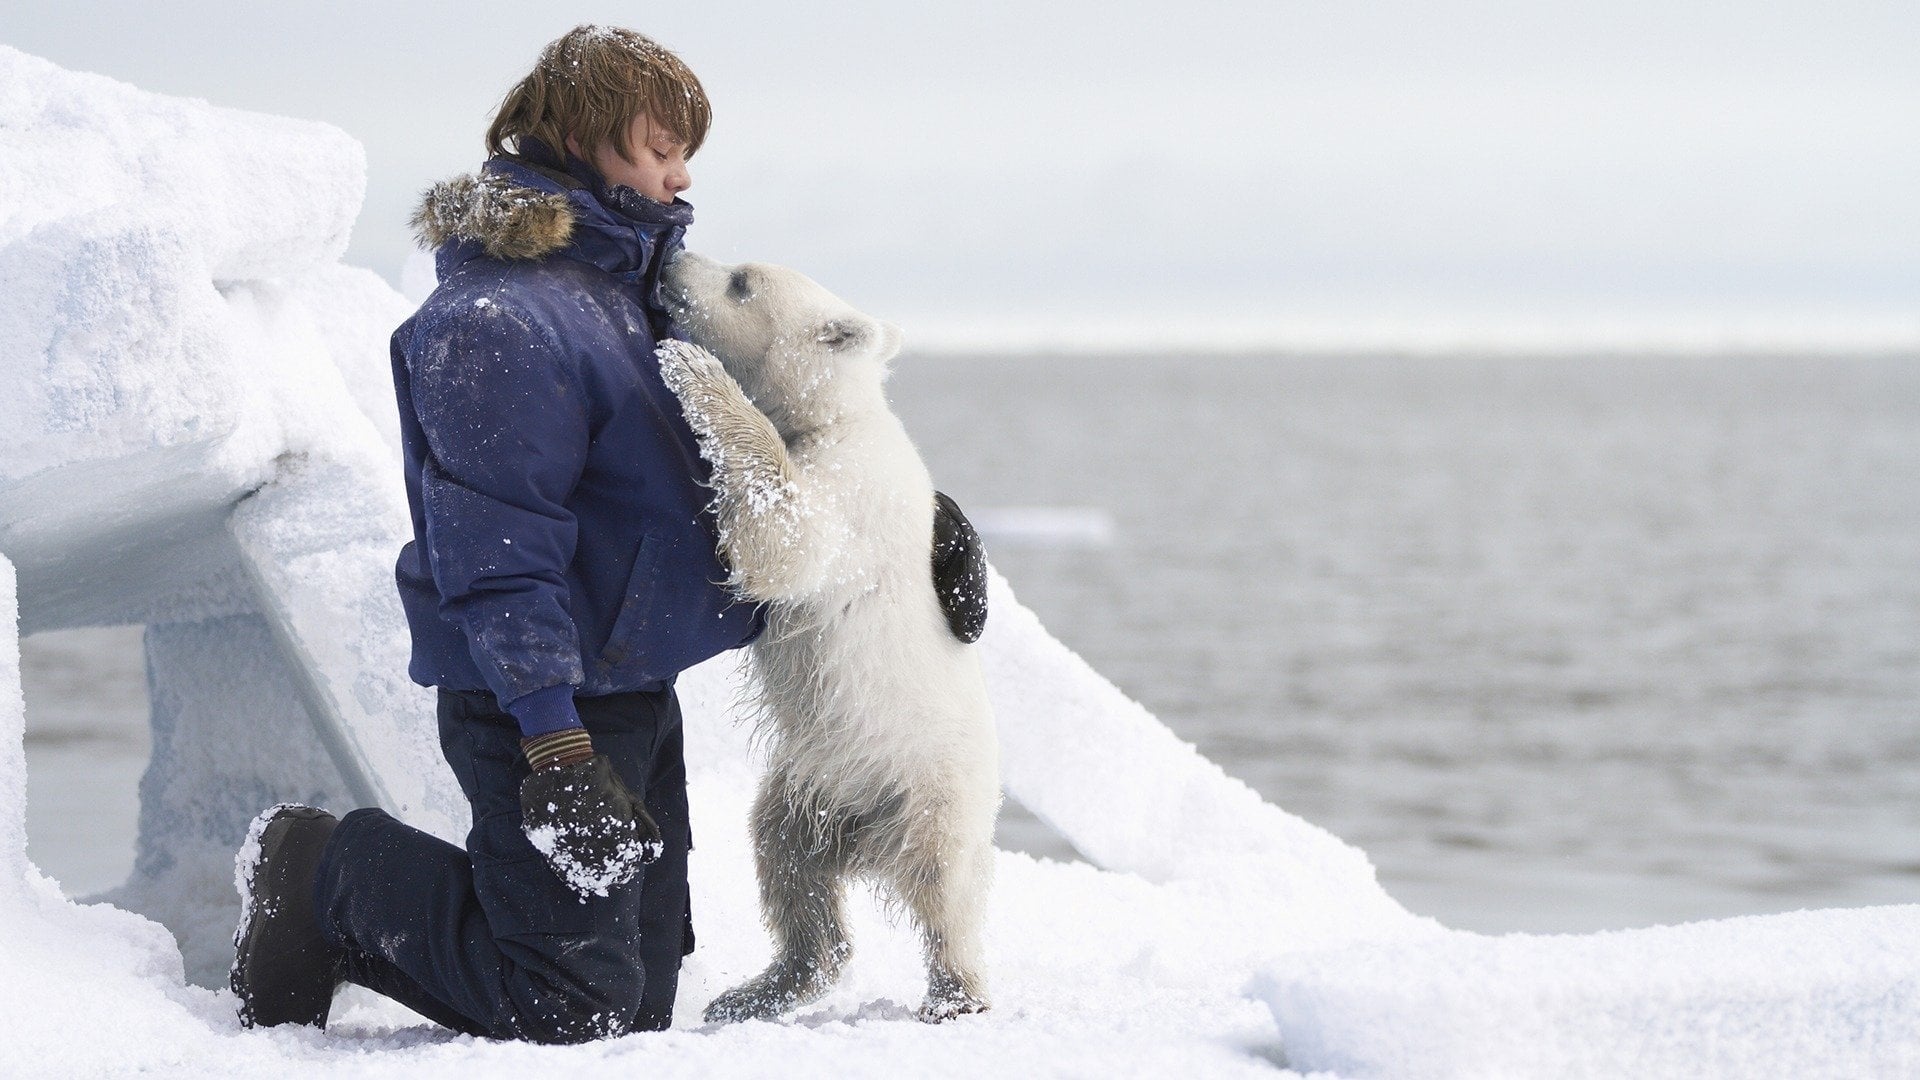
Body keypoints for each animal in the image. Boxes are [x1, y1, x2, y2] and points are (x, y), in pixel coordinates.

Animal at [654, 251, 1000, 1024]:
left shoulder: (848, 490)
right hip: (809, 788)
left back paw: (955, 996)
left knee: (944, 883)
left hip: (928, 782)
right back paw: (760, 989)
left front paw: (693, 371)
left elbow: (788, 538)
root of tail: (868, 838)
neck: (836, 414)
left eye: (742, 280)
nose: (673, 260)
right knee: (786, 864)